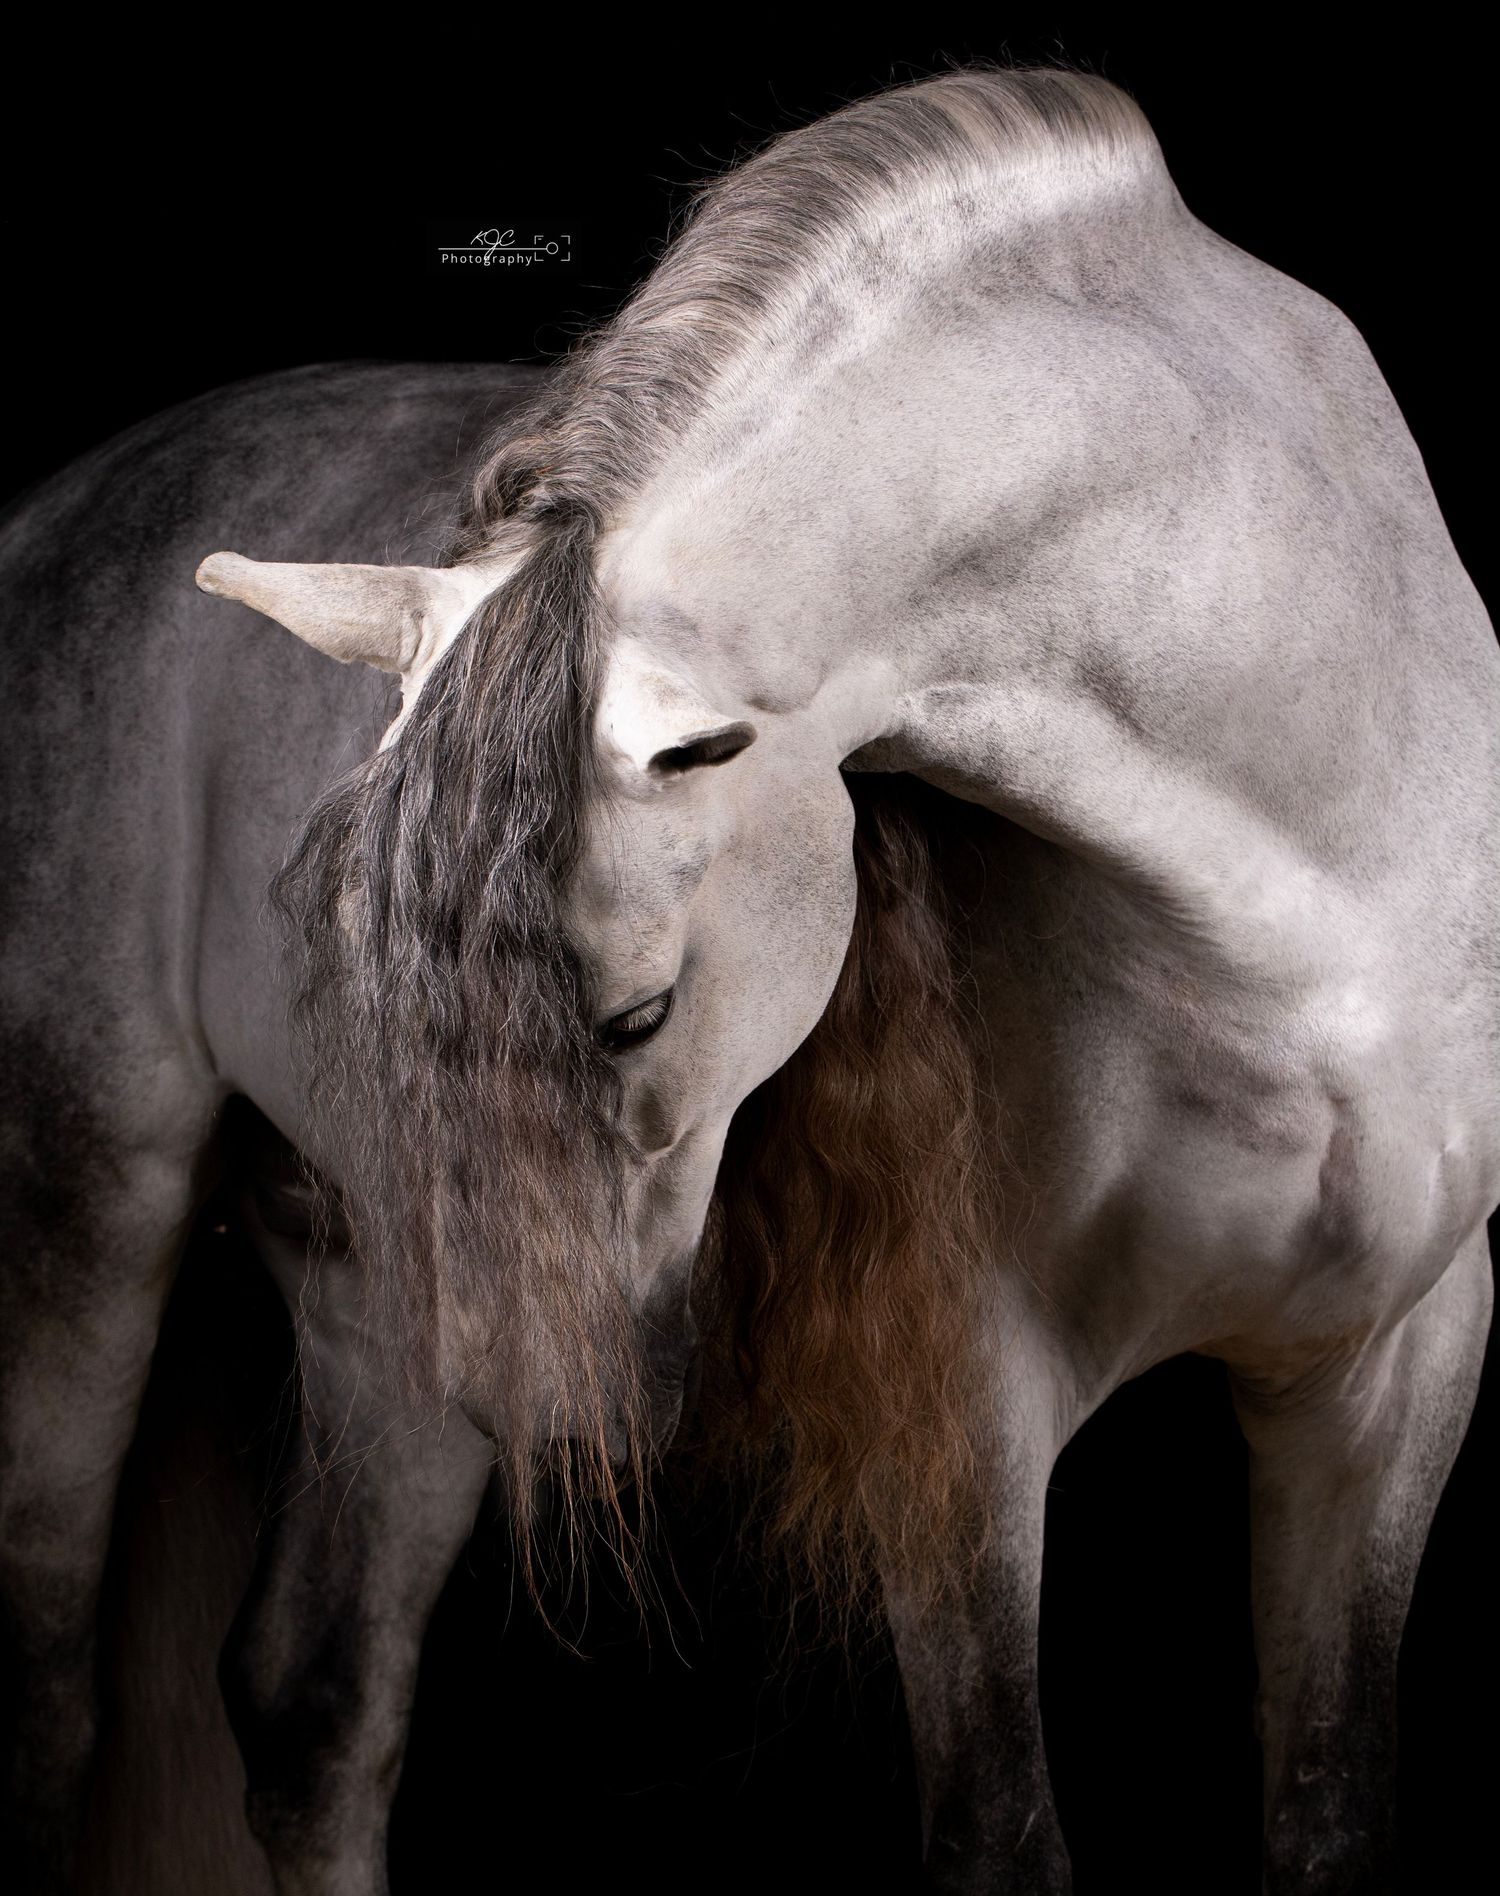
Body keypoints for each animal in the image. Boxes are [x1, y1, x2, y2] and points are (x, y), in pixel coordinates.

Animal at [2, 64, 1495, 1895]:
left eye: (636, 1015)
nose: (557, 1416)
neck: (1292, 926)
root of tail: (55, 515)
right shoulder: (964, 1399)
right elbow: (1001, 1830)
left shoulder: (1392, 1370)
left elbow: (1333, 1807)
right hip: (103, 1218)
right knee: (55, 1691)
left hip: (381, 1294)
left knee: (316, 1709)